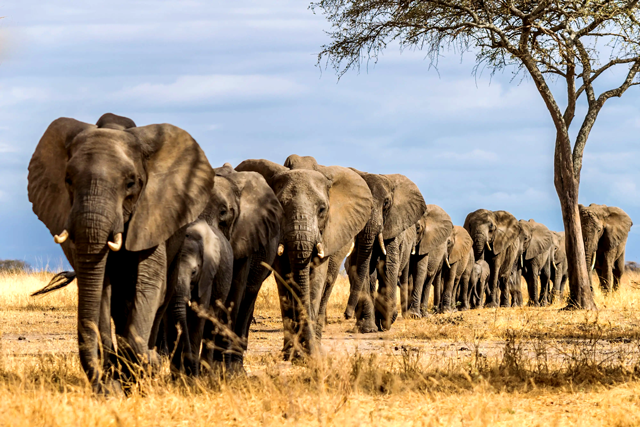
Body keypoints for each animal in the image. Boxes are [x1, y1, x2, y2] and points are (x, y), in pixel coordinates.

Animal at [28, 113, 214, 392]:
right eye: (68, 180)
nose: (101, 387)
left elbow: (148, 283)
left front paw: (147, 365)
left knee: (161, 297)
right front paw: (115, 383)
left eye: (130, 183)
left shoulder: (152, 213)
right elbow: (100, 288)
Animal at [168, 219, 232, 376]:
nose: (190, 370)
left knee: (211, 321)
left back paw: (206, 373)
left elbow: (199, 315)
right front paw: (176, 377)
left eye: (194, 272)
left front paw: (192, 377)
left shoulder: (207, 273)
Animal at [235, 159, 370, 360]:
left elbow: (316, 280)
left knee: (327, 285)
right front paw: (292, 354)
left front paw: (307, 354)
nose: (309, 356)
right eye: (279, 207)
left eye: (322, 209)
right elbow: (285, 280)